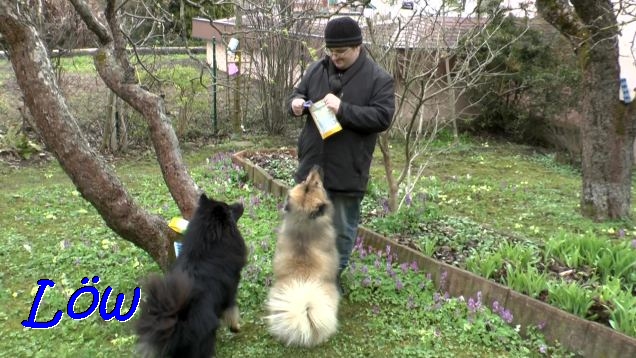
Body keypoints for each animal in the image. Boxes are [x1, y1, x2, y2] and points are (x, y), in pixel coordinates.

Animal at [135, 194, 247, 356]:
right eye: (229, 209)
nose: (241, 203)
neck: (206, 247)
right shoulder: (230, 291)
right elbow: (232, 310)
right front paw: (236, 327)